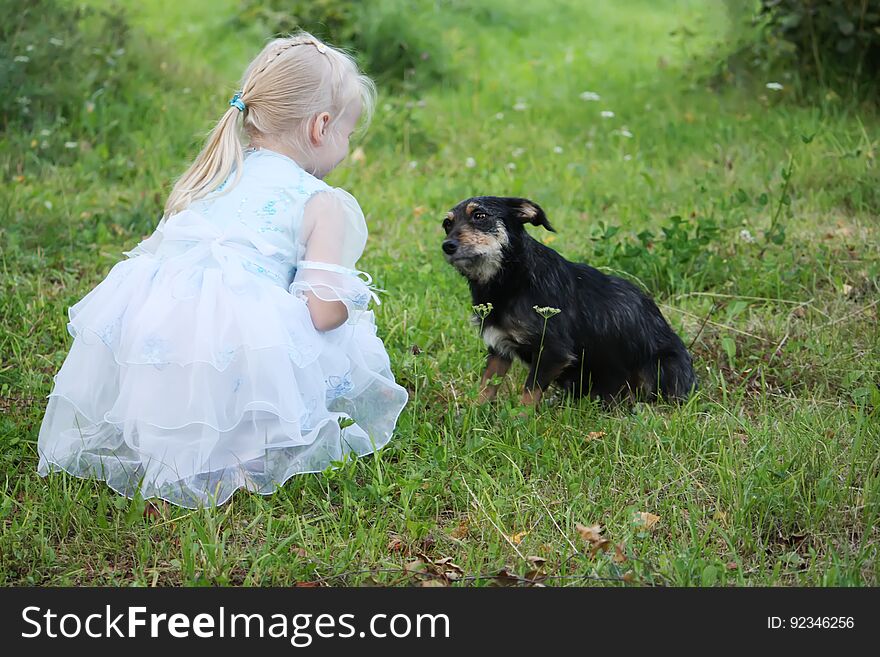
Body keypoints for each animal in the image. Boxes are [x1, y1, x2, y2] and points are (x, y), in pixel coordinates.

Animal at [444, 196, 696, 404]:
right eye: (447, 224)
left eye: (480, 216)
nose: (447, 246)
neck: (512, 280)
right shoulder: (499, 349)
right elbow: (485, 389)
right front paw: (473, 419)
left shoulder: (554, 351)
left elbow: (529, 394)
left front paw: (521, 424)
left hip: (661, 366)